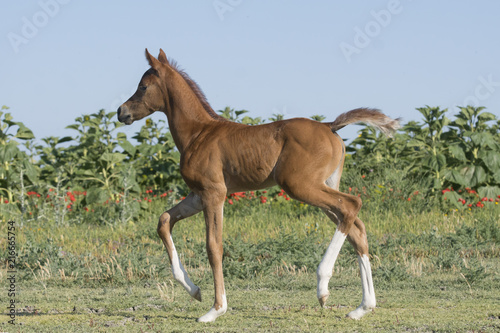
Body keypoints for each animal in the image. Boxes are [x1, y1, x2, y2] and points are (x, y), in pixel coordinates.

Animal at [116, 49, 398, 322]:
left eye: (143, 86)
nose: (121, 112)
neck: (198, 133)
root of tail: (330, 126)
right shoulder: (198, 195)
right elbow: (164, 221)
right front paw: (194, 290)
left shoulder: (214, 193)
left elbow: (213, 246)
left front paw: (216, 309)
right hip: (322, 185)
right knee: (356, 229)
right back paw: (362, 308)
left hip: (300, 186)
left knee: (352, 205)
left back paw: (323, 287)